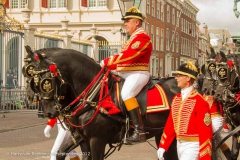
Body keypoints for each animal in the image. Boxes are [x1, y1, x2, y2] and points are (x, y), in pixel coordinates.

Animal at [23, 47, 180, 159]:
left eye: (47, 81)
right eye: (32, 79)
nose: (48, 112)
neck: (95, 94)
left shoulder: (97, 140)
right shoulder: (82, 139)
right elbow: (60, 152)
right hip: (162, 135)